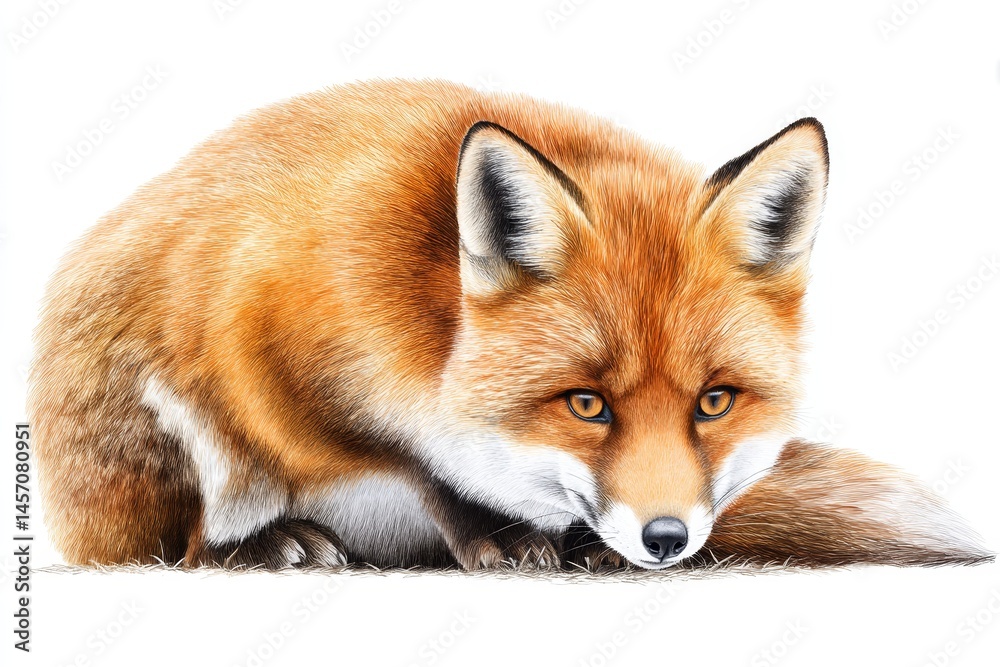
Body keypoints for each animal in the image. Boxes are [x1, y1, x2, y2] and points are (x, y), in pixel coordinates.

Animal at [29, 79, 989, 571]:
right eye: (586, 404)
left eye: (714, 402)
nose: (666, 539)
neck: (423, 321)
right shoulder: (258, 348)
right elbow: (418, 463)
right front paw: (494, 530)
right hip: (155, 441)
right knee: (177, 543)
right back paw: (268, 545)